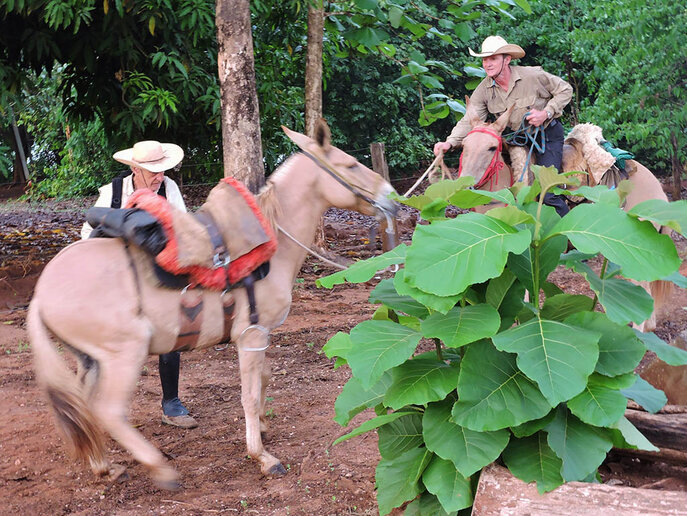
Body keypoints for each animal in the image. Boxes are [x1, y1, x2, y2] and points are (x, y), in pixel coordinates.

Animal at [26, 121, 396, 488]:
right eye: (351, 165)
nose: (392, 200)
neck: (272, 238)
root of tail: (41, 293)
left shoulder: (259, 336)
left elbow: (263, 378)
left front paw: (262, 428)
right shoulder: (251, 335)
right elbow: (248, 394)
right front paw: (261, 456)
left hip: (89, 359)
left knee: (84, 407)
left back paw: (104, 466)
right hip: (124, 354)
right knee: (108, 410)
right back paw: (160, 469)